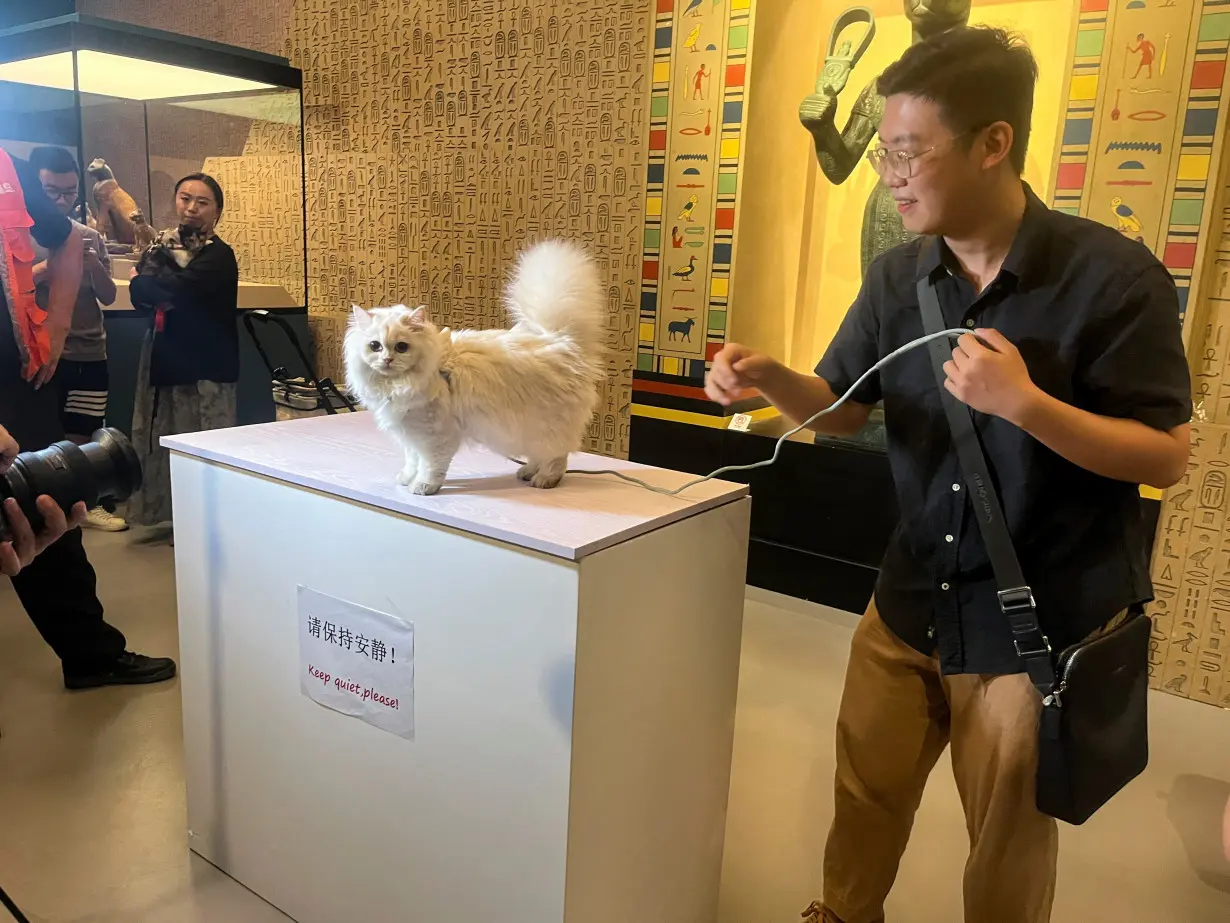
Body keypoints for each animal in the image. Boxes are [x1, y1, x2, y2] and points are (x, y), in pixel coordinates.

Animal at [344, 242, 602, 494]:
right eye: (375, 346)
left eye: (401, 347)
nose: (387, 360)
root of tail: (561, 340)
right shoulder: (412, 436)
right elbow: (412, 462)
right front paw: (406, 479)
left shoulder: (435, 437)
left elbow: (429, 467)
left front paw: (423, 487)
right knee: (541, 454)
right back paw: (527, 472)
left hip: (546, 426)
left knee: (557, 457)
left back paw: (544, 480)